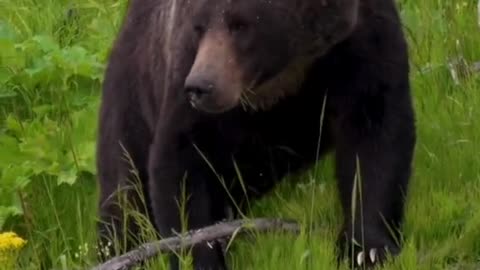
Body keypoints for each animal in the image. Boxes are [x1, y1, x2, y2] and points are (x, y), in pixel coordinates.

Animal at [94, 0, 416, 268]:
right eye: (199, 26)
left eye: (241, 24)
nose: (200, 86)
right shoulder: (186, 80)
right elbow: (179, 168)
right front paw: (201, 256)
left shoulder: (362, 47)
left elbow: (376, 142)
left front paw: (367, 249)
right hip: (130, 99)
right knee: (124, 195)